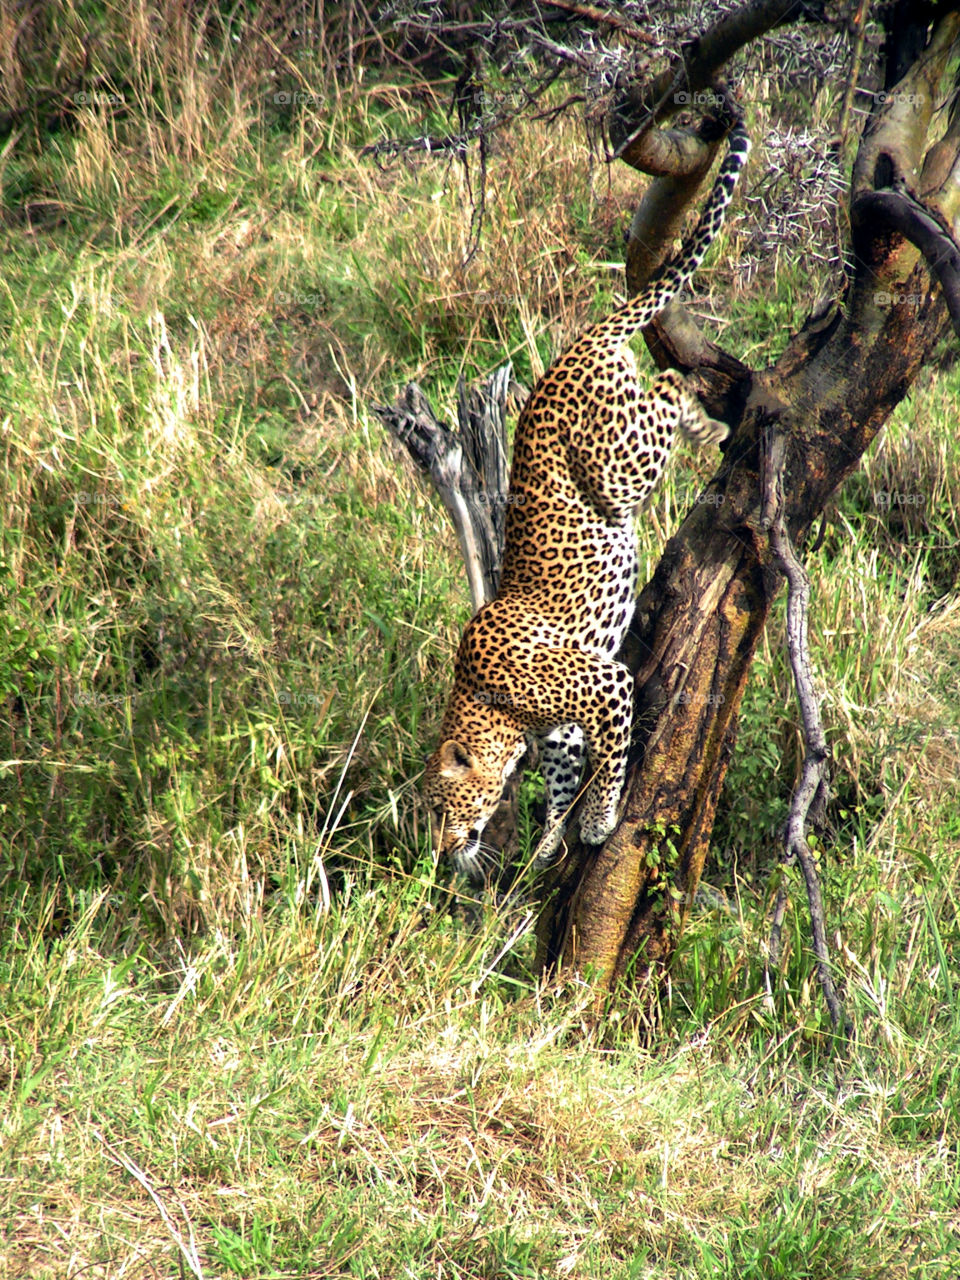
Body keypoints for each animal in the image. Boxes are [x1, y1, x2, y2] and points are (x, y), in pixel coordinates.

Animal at [423, 117, 750, 885]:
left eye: (444, 810)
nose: (443, 852)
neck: (491, 711)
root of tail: (564, 358)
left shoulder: (607, 684)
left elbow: (608, 765)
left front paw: (599, 823)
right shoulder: (564, 730)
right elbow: (566, 776)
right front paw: (548, 845)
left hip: (615, 462)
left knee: (670, 382)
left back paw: (705, 414)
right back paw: (712, 425)